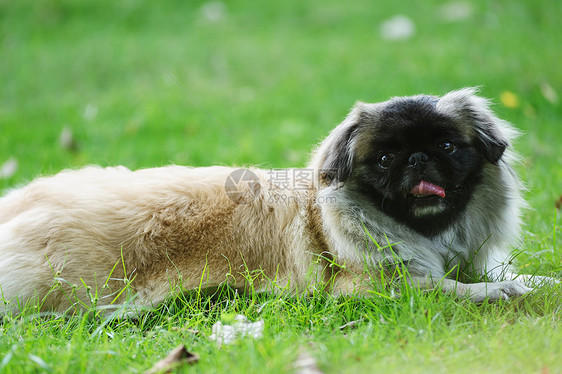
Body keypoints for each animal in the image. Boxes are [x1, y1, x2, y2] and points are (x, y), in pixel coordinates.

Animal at [0, 87, 548, 312]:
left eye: (447, 147)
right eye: (386, 159)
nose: (417, 158)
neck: (429, 232)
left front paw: (535, 282)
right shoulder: (373, 287)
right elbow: (449, 289)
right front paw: (500, 292)